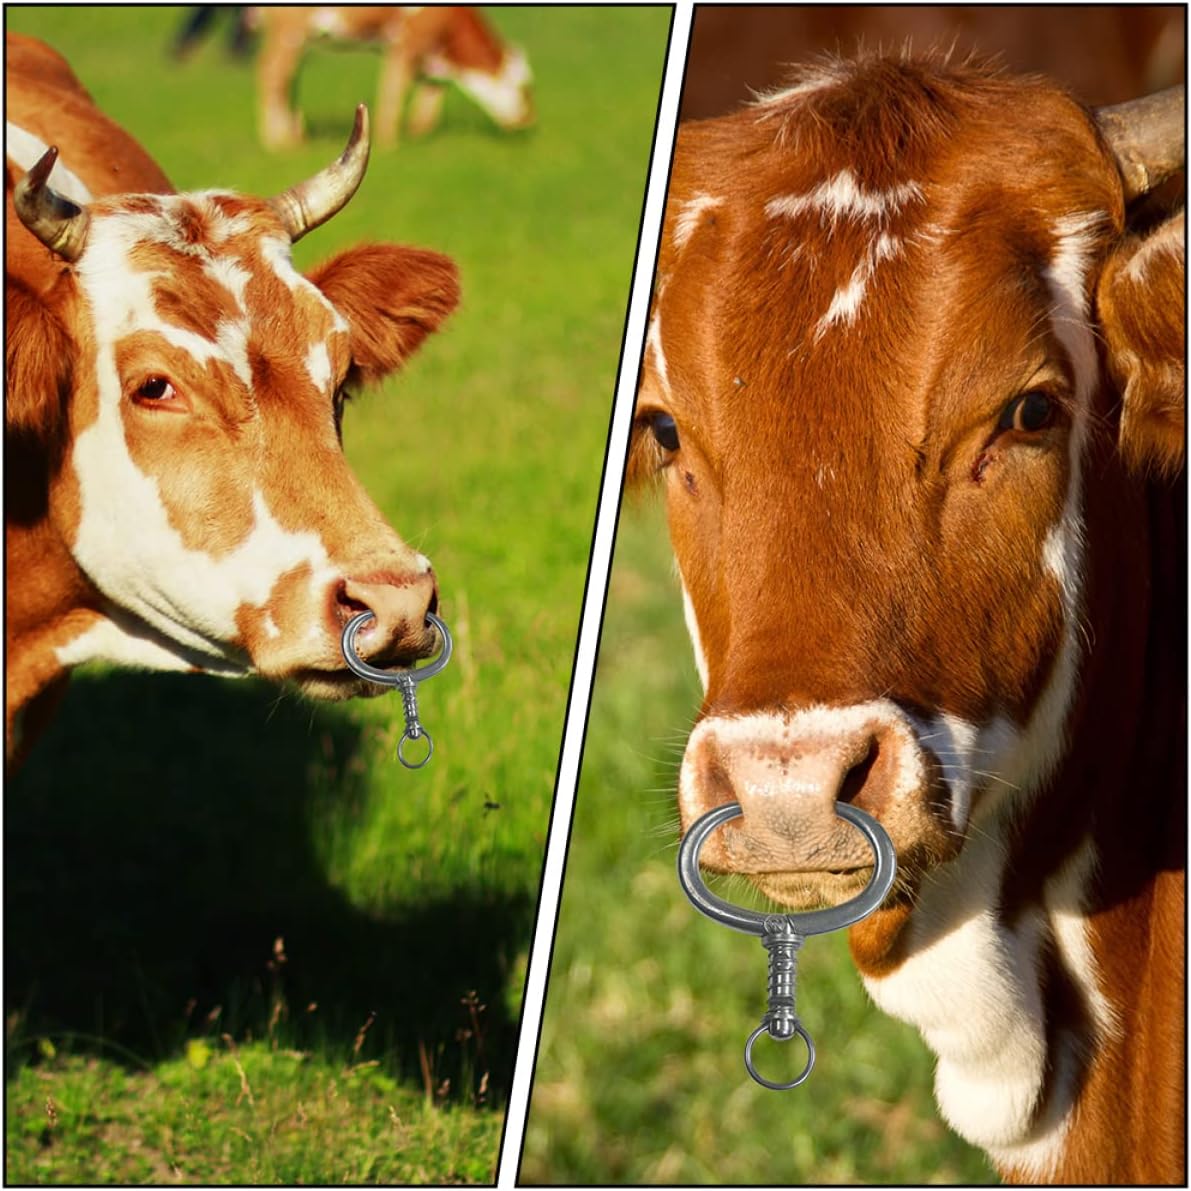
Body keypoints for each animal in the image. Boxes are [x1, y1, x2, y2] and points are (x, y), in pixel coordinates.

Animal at [251, 6, 535, 150]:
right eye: (525, 89)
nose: (529, 121)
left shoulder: (430, 57)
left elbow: (430, 97)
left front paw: (418, 134)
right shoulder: (408, 42)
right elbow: (394, 90)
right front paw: (389, 142)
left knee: (287, 78)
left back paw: (296, 136)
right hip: (288, 29)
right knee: (272, 72)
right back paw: (278, 142)